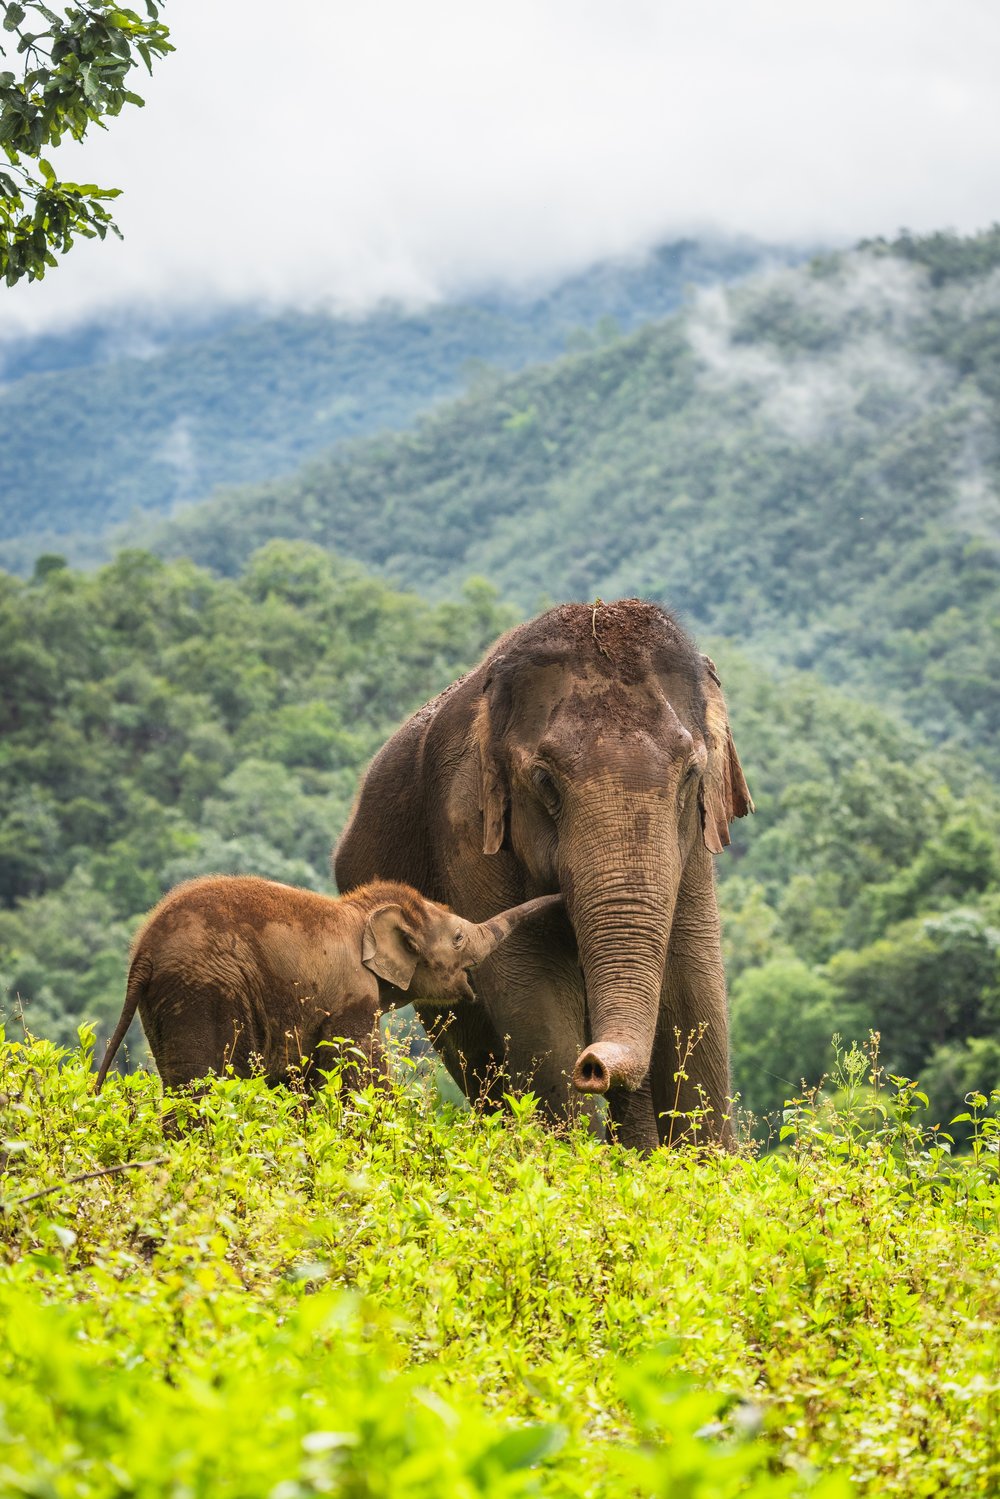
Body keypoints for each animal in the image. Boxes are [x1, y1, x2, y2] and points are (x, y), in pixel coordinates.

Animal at [94, 875, 561, 1094]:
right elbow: (359, 1072)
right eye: (459, 938)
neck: (361, 911)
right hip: (204, 990)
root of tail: (143, 952)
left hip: (165, 1002)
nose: (559, 896)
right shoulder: (352, 996)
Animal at [334, 599, 752, 1152]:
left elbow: (693, 984)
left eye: (690, 774)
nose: (593, 1067)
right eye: (544, 780)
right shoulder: (465, 828)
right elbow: (533, 990)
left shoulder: (696, 850)